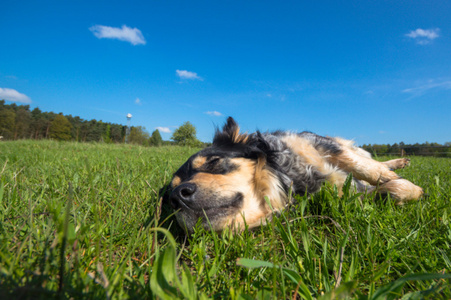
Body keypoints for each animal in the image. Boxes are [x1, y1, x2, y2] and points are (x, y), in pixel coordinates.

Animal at [169, 117, 424, 232]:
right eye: (168, 198)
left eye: (213, 162)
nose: (179, 195)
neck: (288, 177)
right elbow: (386, 191)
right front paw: (402, 187)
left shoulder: (317, 143)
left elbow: (364, 168)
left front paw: (402, 182)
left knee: (365, 157)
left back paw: (397, 163)